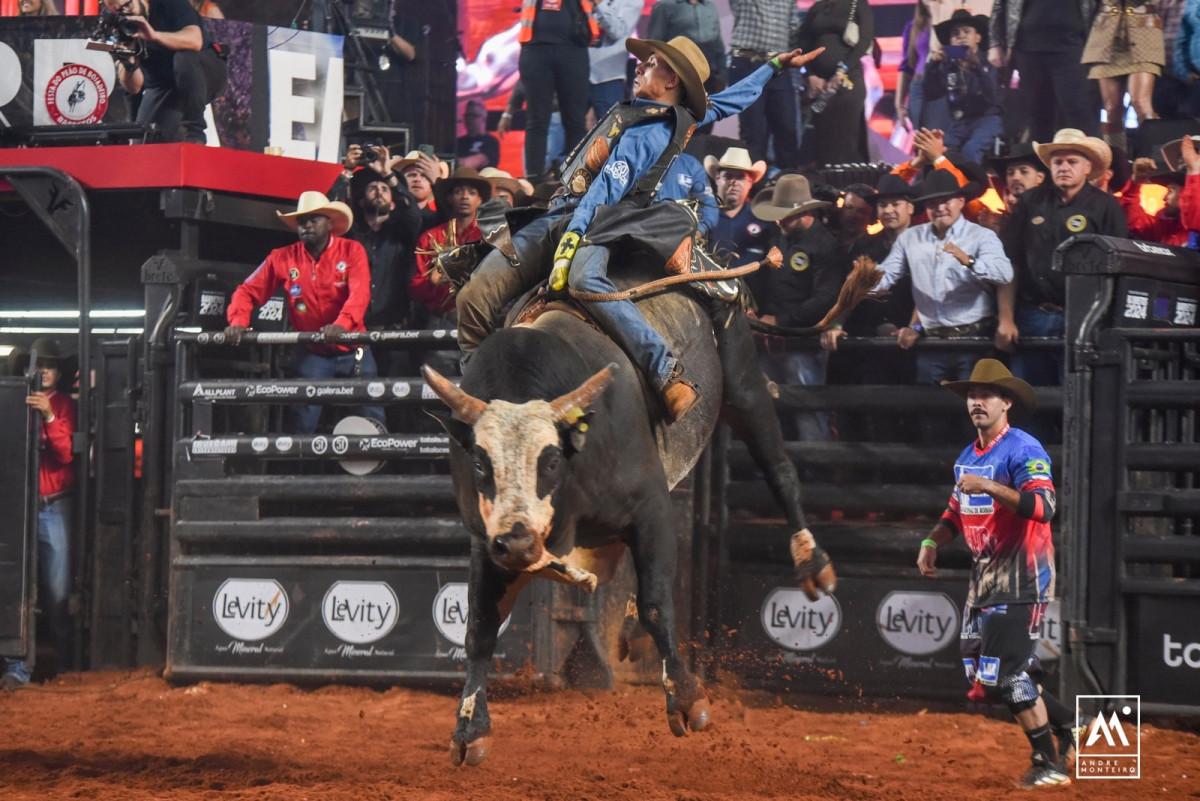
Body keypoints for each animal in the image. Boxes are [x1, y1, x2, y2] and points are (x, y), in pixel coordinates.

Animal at [422, 261, 844, 762]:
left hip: (742, 381)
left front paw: (686, 698)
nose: (521, 543)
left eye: (551, 460)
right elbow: (480, 628)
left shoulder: (652, 509)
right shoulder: (487, 541)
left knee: (779, 468)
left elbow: (658, 603)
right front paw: (470, 729)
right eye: (480, 463)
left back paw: (812, 562)